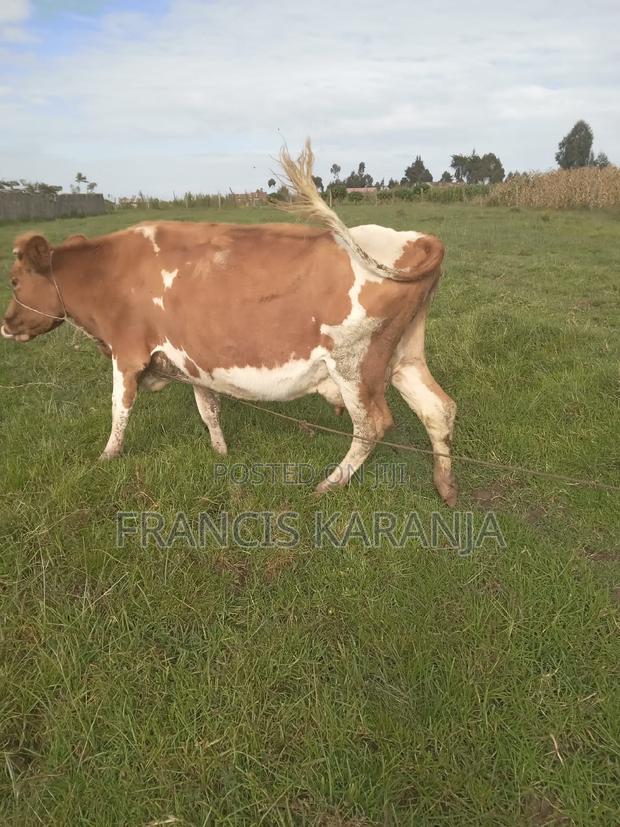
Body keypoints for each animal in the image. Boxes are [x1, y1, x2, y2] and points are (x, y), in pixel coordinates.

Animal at [1, 141, 457, 505]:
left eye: (14, 280)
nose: (5, 324)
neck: (108, 271)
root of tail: (417, 239)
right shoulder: (191, 357)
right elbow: (209, 409)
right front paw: (221, 452)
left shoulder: (126, 353)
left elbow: (119, 410)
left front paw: (107, 457)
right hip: (403, 356)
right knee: (439, 409)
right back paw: (445, 487)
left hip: (353, 364)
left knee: (371, 425)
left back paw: (330, 483)